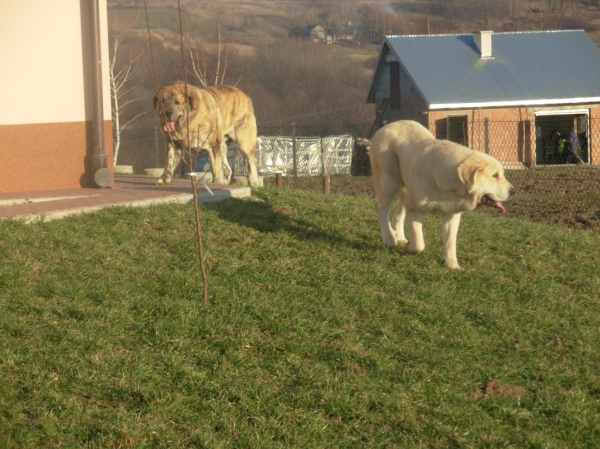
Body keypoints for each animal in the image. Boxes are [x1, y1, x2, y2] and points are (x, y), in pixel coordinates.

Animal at [370, 119, 516, 270]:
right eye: (494, 175)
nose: (513, 191)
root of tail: (388, 125)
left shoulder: (451, 215)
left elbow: (450, 243)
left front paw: (453, 266)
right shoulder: (415, 209)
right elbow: (419, 243)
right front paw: (410, 247)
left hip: (404, 190)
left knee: (398, 214)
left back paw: (398, 237)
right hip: (389, 182)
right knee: (382, 212)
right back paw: (389, 238)